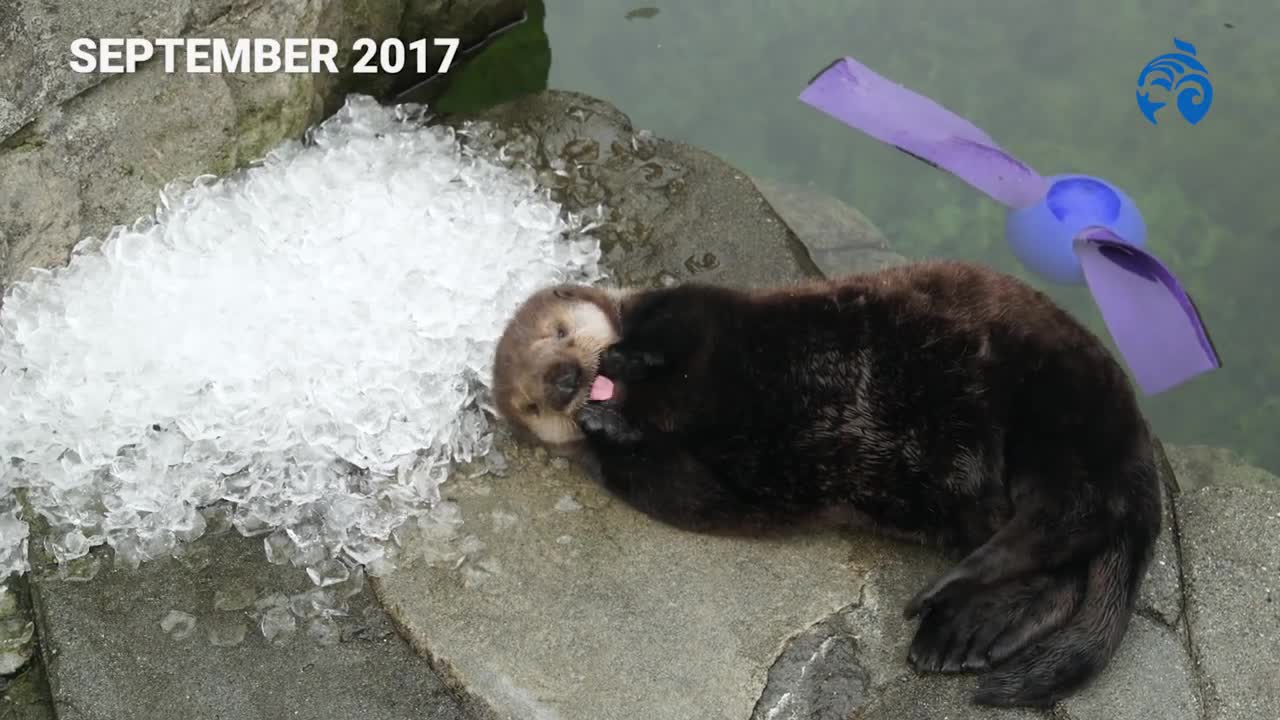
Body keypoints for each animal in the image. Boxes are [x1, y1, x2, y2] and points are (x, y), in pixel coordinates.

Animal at [486, 258, 1162, 707]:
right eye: (531, 400)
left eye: (560, 333)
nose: (565, 381)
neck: (657, 404)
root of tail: (1134, 440)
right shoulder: (654, 486)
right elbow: (686, 481)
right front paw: (602, 424)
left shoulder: (698, 308)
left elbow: (685, 326)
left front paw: (627, 358)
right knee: (1062, 565)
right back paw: (963, 629)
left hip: (1054, 395)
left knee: (1073, 516)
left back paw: (949, 608)